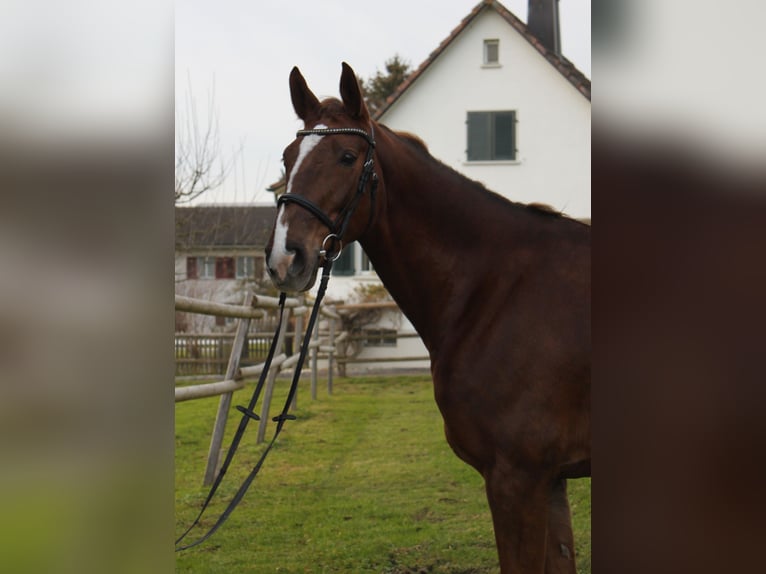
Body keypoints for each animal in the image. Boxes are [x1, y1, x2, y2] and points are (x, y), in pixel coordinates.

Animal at [266, 63, 592, 574]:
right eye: (287, 158)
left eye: (346, 156)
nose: (285, 258)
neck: (497, 287)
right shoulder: (551, 479)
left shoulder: (518, 478)